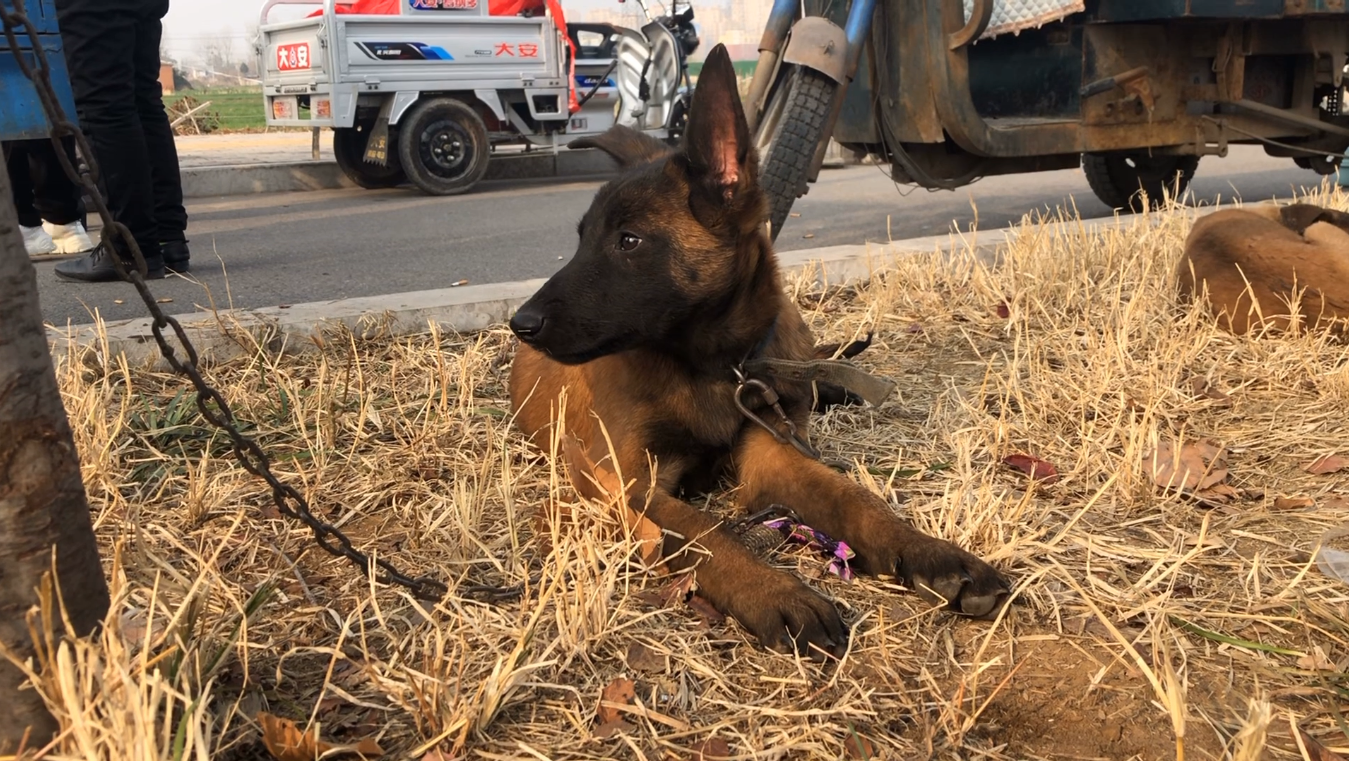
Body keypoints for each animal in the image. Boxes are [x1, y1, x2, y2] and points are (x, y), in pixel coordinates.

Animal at [504, 44, 1003, 655]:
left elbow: (854, 499)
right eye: (581, 240)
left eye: (628, 241)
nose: (520, 323)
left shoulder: (773, 454)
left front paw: (932, 554)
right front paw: (775, 594)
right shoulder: (626, 483)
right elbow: (704, 534)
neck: (713, 369)